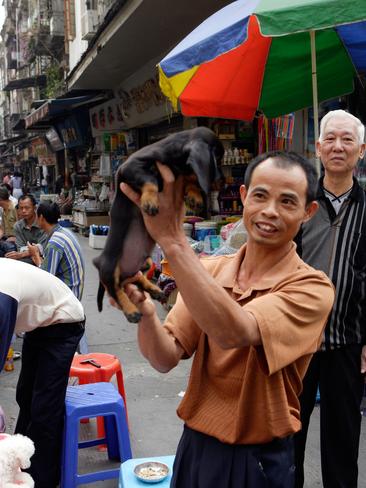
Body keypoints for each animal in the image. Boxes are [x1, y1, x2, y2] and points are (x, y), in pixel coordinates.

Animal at [92, 127, 223, 322]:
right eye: (218, 158)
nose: (221, 180)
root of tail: (98, 262)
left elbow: (189, 180)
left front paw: (194, 197)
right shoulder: (131, 167)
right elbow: (150, 180)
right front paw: (150, 200)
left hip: (144, 263)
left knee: (134, 278)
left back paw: (154, 290)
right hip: (110, 267)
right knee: (115, 289)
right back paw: (131, 310)